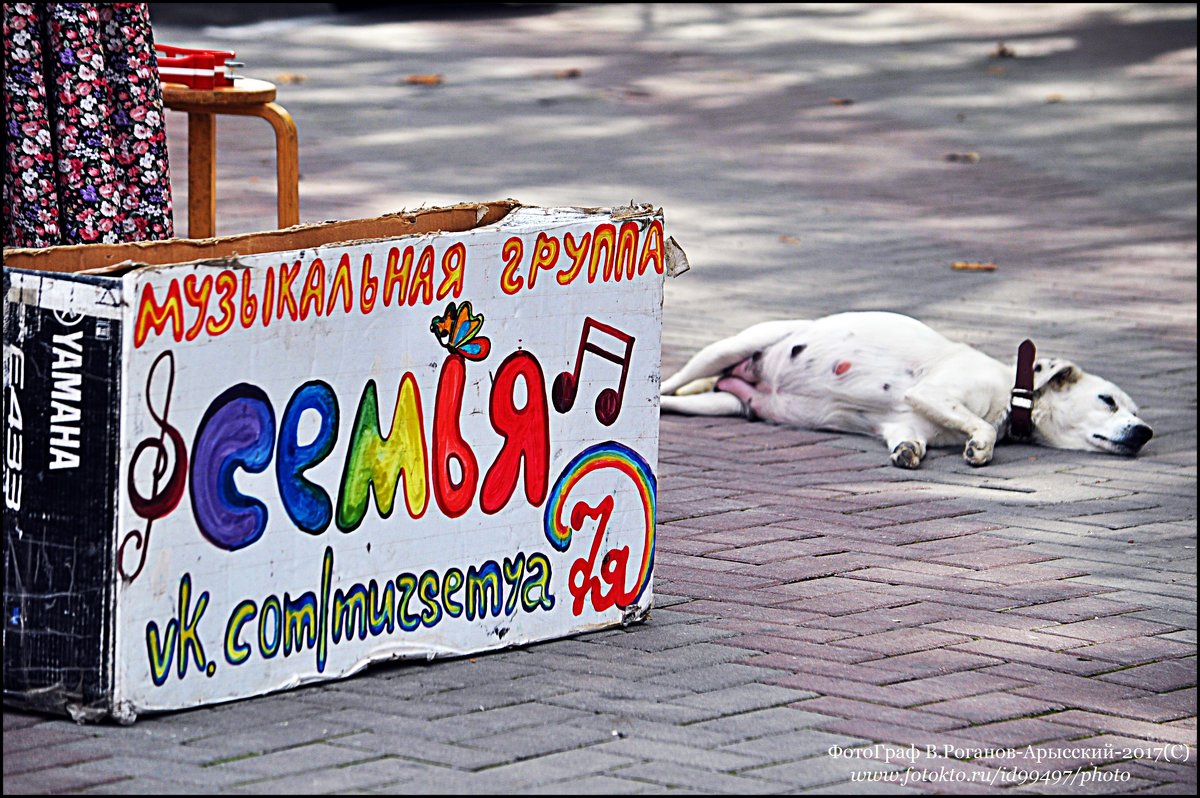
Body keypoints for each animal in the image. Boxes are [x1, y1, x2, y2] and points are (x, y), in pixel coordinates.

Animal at [657, 312, 1152, 468]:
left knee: (679, 400)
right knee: (667, 385)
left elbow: (910, 443)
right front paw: (980, 446)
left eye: (1137, 413)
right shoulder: (931, 394)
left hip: (723, 404)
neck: (1010, 393)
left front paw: (907, 454)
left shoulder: (905, 423)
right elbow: (982, 429)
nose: (1145, 432)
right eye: (1108, 401)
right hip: (726, 348)